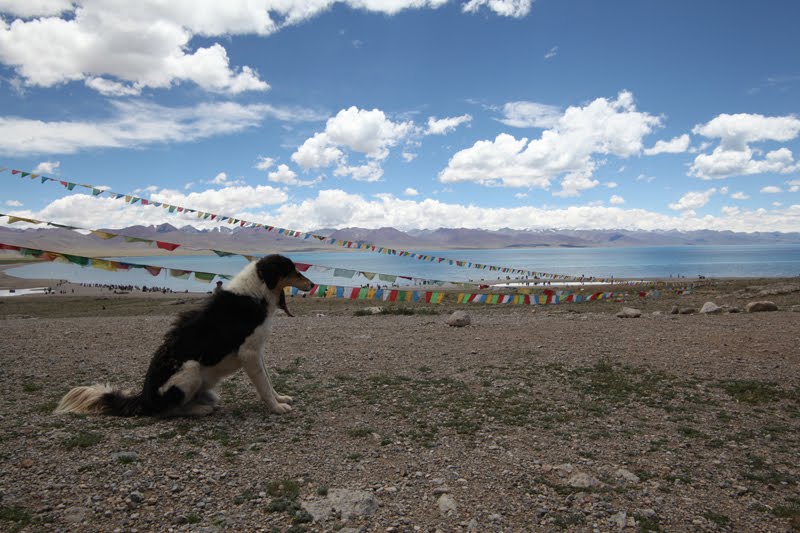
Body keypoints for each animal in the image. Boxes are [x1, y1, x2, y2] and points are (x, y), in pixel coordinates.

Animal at [54, 254, 312, 416]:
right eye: (292, 270)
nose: (311, 284)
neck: (255, 293)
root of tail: (144, 398)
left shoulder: (257, 352)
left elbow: (268, 380)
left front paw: (280, 399)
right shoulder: (249, 353)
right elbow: (264, 386)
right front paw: (276, 408)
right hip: (190, 369)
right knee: (168, 411)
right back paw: (200, 410)